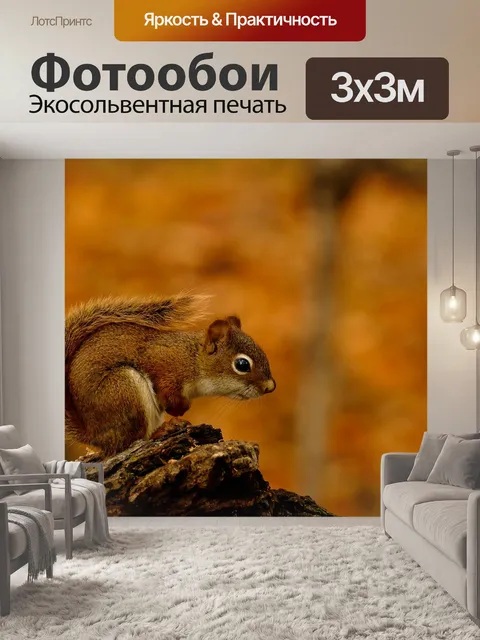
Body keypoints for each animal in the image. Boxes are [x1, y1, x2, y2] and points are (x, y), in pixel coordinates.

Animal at [65, 294, 276, 456]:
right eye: (242, 364)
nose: (271, 387)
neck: (193, 359)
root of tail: (94, 435)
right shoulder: (163, 365)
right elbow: (166, 390)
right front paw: (181, 408)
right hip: (124, 389)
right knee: (131, 440)